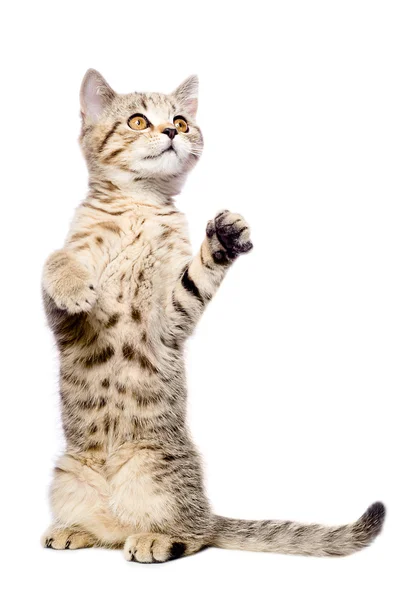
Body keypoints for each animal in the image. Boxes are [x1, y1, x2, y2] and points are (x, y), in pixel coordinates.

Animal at [41, 70, 386, 564]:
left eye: (183, 121)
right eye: (138, 120)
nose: (171, 131)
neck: (139, 207)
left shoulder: (169, 319)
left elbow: (194, 279)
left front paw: (223, 239)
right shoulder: (63, 316)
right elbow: (57, 260)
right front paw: (73, 285)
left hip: (158, 477)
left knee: (195, 533)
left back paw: (154, 538)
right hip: (65, 473)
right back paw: (75, 529)